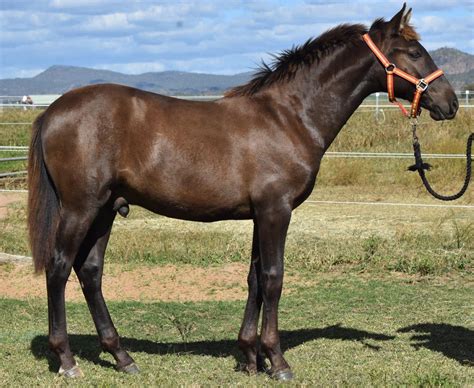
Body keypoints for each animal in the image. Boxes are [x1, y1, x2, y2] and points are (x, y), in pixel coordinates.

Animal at [27, 4, 458, 380]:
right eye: (415, 52)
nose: (450, 103)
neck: (289, 117)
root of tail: (54, 111)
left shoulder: (260, 214)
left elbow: (254, 280)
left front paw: (250, 356)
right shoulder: (276, 211)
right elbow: (273, 278)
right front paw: (277, 361)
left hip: (104, 210)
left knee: (90, 272)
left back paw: (122, 357)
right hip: (80, 208)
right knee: (59, 267)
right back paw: (66, 360)